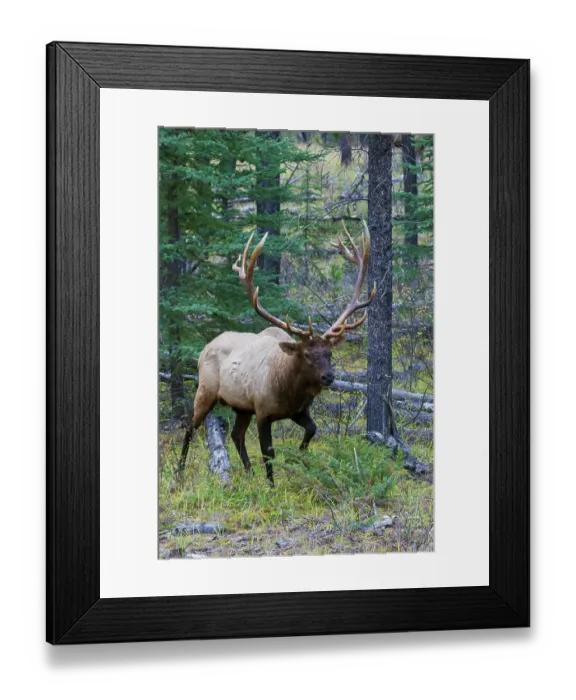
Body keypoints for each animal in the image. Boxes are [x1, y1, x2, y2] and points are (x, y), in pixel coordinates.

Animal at [178, 221, 376, 485]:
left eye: (329, 354)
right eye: (306, 354)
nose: (328, 377)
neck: (289, 389)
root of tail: (204, 348)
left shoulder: (298, 410)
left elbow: (312, 430)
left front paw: (298, 460)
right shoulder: (263, 411)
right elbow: (268, 453)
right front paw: (272, 486)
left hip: (242, 406)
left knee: (236, 435)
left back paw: (250, 473)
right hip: (206, 389)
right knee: (190, 426)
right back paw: (178, 472)